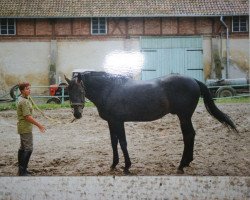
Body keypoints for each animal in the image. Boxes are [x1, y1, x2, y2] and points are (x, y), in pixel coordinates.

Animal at [64, 71, 236, 173]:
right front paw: (114, 164)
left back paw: (181, 165)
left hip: (184, 116)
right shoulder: (111, 122)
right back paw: (186, 163)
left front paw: (127, 166)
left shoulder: (118, 121)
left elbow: (123, 143)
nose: (77, 114)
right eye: (68, 91)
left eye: (81, 90)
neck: (110, 89)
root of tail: (193, 79)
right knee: (191, 135)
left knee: (188, 135)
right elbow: (114, 143)